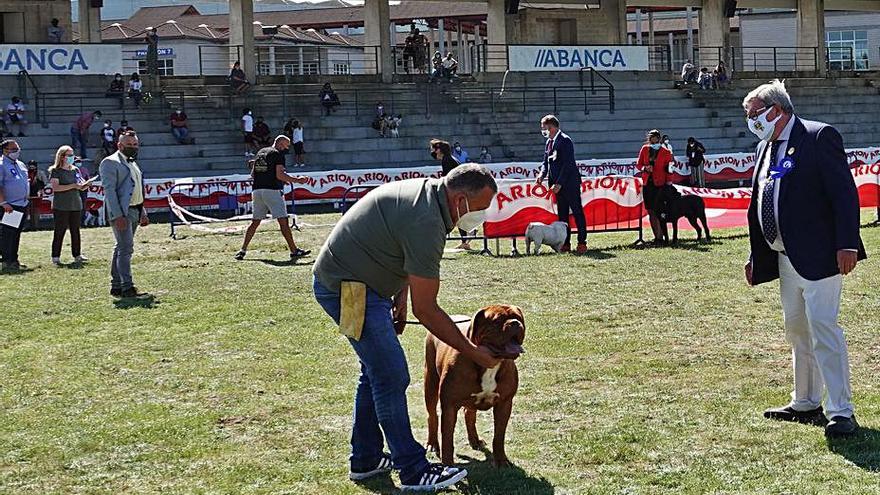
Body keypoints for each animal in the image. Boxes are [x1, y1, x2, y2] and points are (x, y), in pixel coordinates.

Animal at [424, 304, 524, 466]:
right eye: (497, 320)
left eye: (518, 317)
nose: (515, 323)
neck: (488, 366)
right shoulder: (450, 406)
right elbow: (447, 439)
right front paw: (448, 464)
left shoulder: (504, 403)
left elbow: (499, 435)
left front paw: (501, 460)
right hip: (430, 382)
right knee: (432, 415)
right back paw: (432, 444)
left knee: (469, 414)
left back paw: (475, 440)